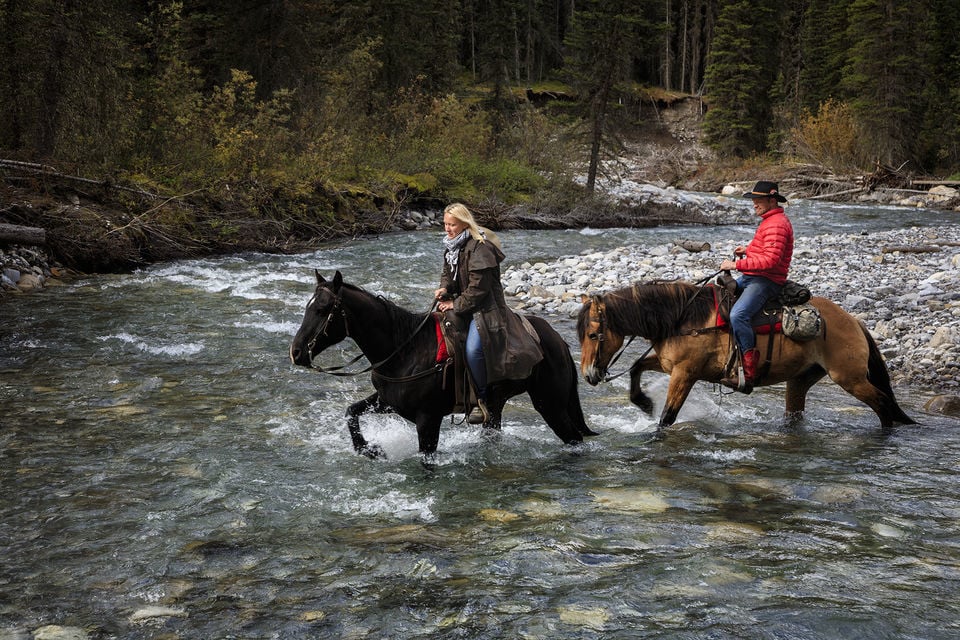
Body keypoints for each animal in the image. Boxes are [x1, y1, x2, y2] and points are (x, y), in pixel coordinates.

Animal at [288, 272, 596, 458]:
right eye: (308, 306)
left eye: (322, 310)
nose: (296, 352)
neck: (405, 349)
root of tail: (557, 340)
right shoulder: (388, 401)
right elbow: (351, 412)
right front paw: (370, 450)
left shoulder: (428, 419)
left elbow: (426, 458)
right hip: (497, 405)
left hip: (550, 404)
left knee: (573, 438)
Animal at [576, 278, 916, 430]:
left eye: (592, 335)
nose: (589, 375)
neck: (683, 318)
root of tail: (854, 321)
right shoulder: (666, 363)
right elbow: (635, 367)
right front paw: (644, 403)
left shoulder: (685, 373)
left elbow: (668, 417)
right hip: (801, 380)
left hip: (849, 377)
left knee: (882, 403)